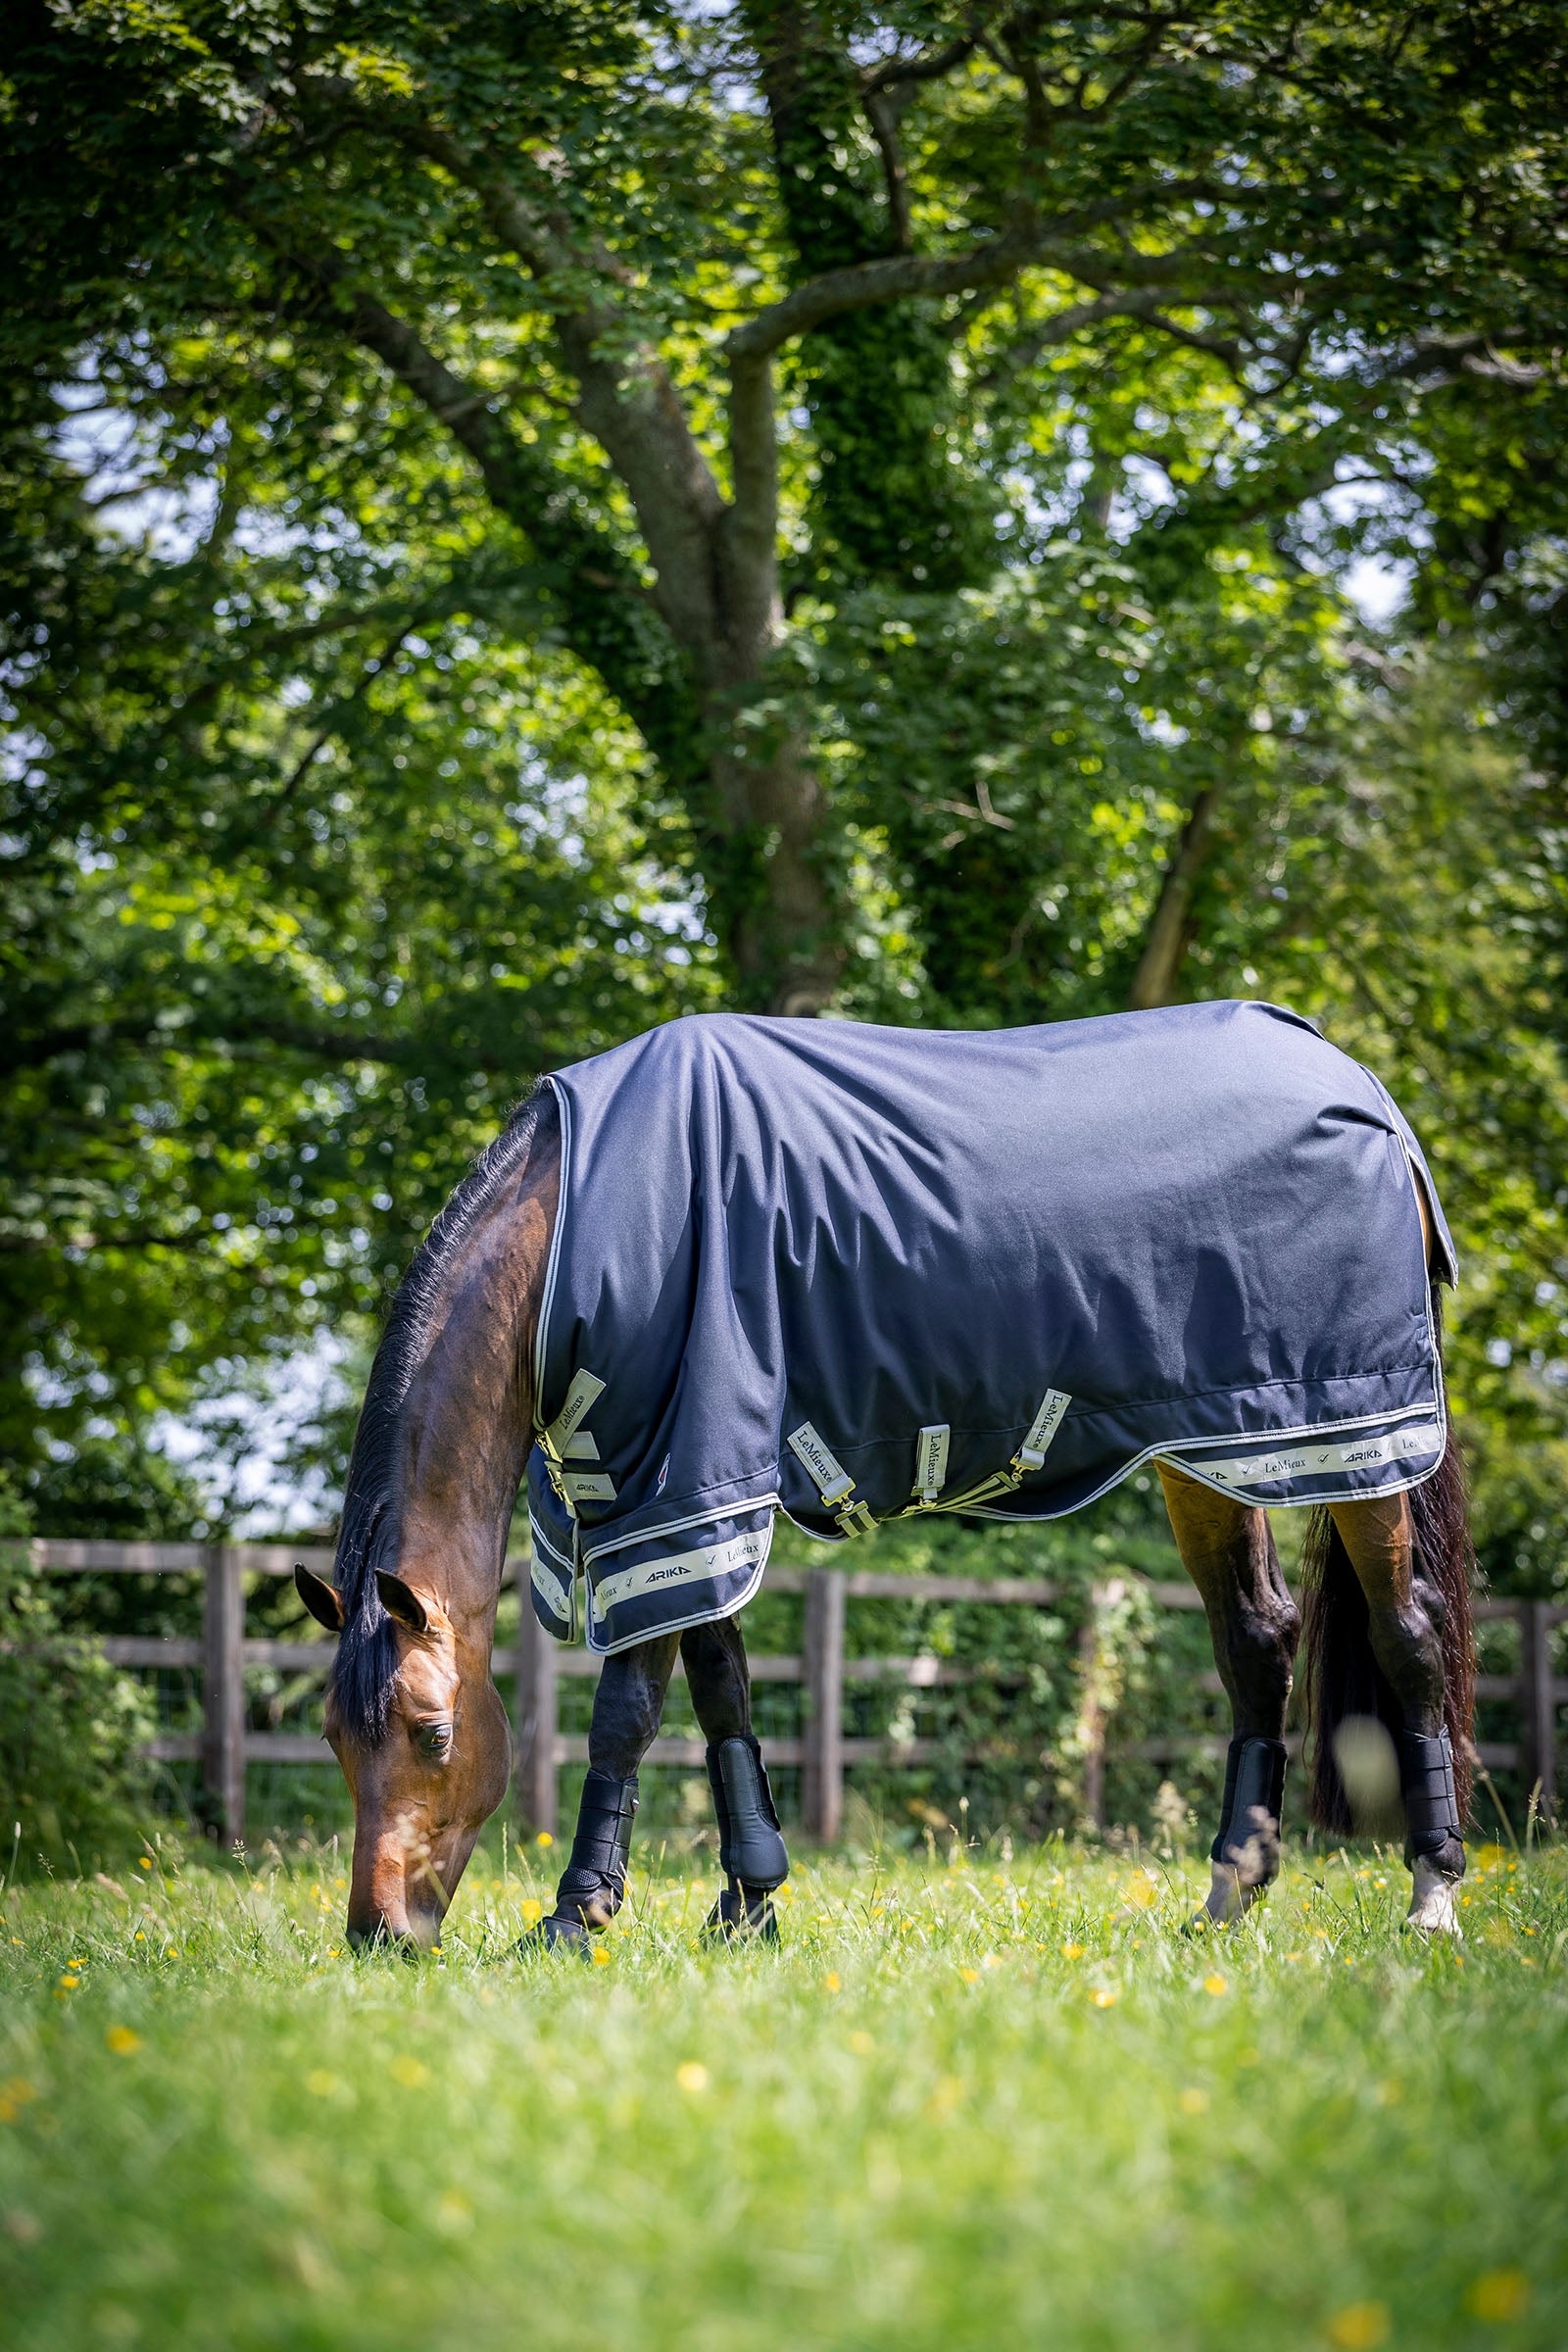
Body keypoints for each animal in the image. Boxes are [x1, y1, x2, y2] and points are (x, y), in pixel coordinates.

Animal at [294, 1004, 1475, 1949]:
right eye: (334, 1739)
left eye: (433, 1733)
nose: (379, 1934)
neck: (579, 1220)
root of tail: (1363, 1094)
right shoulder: (691, 1497)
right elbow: (720, 1689)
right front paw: (747, 1902)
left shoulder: (674, 1483)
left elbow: (628, 1710)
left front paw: (577, 1915)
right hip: (1221, 1447)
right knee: (1257, 1640)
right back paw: (1228, 1897)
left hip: (1356, 1440)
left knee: (1407, 1630)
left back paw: (1433, 1895)